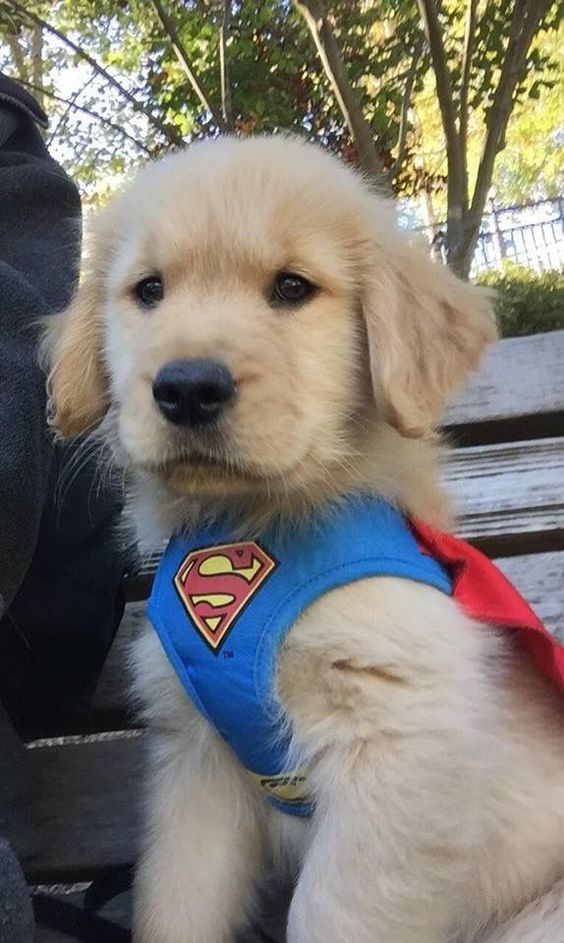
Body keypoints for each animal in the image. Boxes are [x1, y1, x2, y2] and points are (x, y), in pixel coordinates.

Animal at [43, 135, 564, 943]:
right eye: (149, 291)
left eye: (292, 288)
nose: (187, 388)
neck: (251, 527)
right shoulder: (195, 762)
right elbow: (176, 902)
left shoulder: (396, 746)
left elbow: (335, 915)